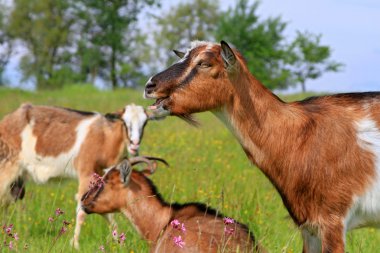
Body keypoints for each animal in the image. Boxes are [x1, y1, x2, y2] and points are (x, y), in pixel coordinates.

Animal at [0, 102, 151, 247]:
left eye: (145, 123)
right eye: (125, 122)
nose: (135, 144)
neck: (105, 137)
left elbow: (105, 210)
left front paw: (119, 242)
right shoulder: (86, 171)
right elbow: (82, 208)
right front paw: (75, 244)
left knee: (5, 202)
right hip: (7, 167)